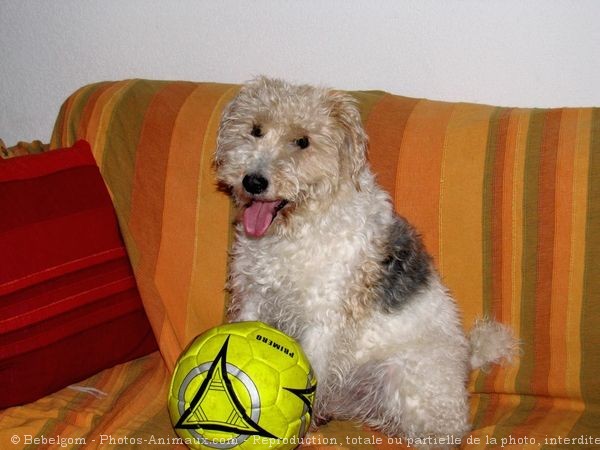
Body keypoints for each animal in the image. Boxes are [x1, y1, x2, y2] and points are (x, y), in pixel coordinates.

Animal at [214, 77, 516, 446]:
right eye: (256, 130)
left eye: (303, 141)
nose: (253, 181)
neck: (298, 227)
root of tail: (466, 357)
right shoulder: (254, 296)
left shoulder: (323, 320)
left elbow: (312, 374)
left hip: (402, 377)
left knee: (444, 430)